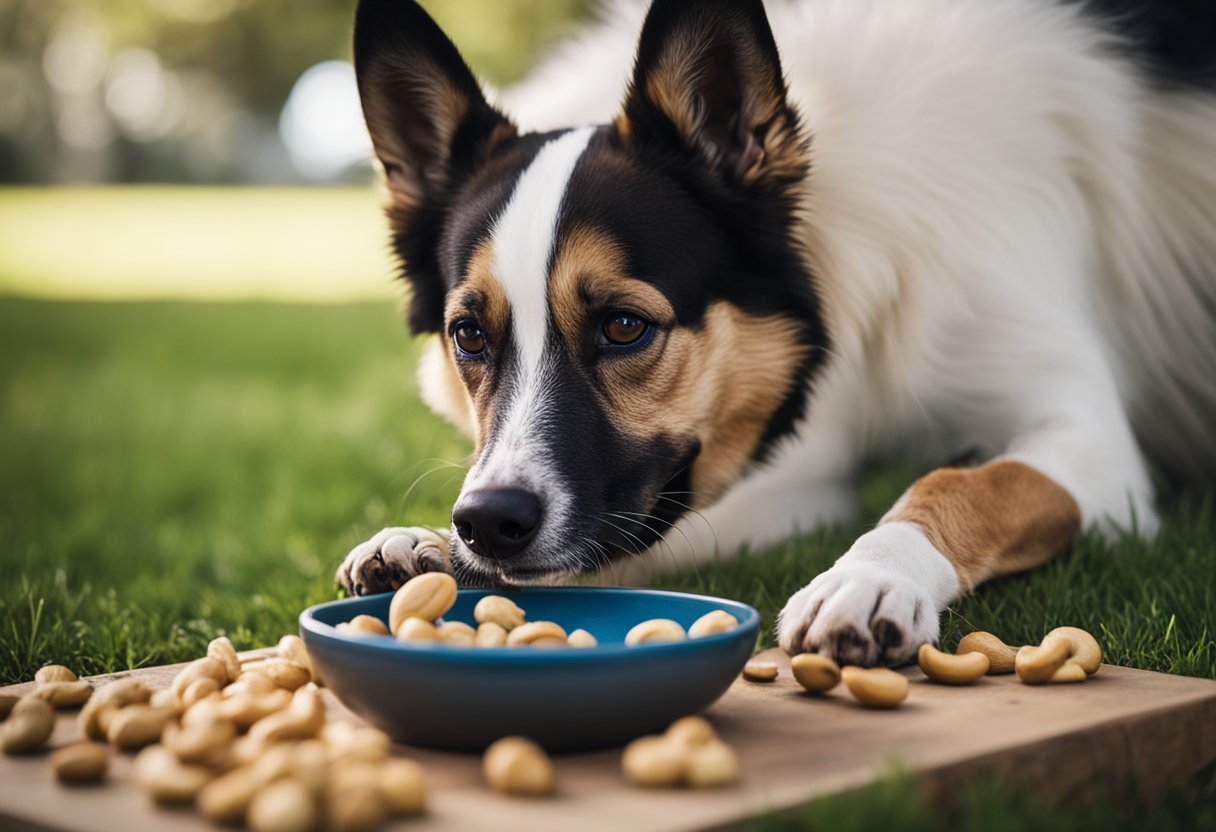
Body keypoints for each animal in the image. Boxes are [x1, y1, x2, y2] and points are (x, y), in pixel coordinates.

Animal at [335, 0, 1216, 666]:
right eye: (468, 335)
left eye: (624, 326)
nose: (486, 523)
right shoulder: (794, 481)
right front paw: (430, 552)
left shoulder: (1094, 445)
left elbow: (966, 482)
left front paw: (872, 577)